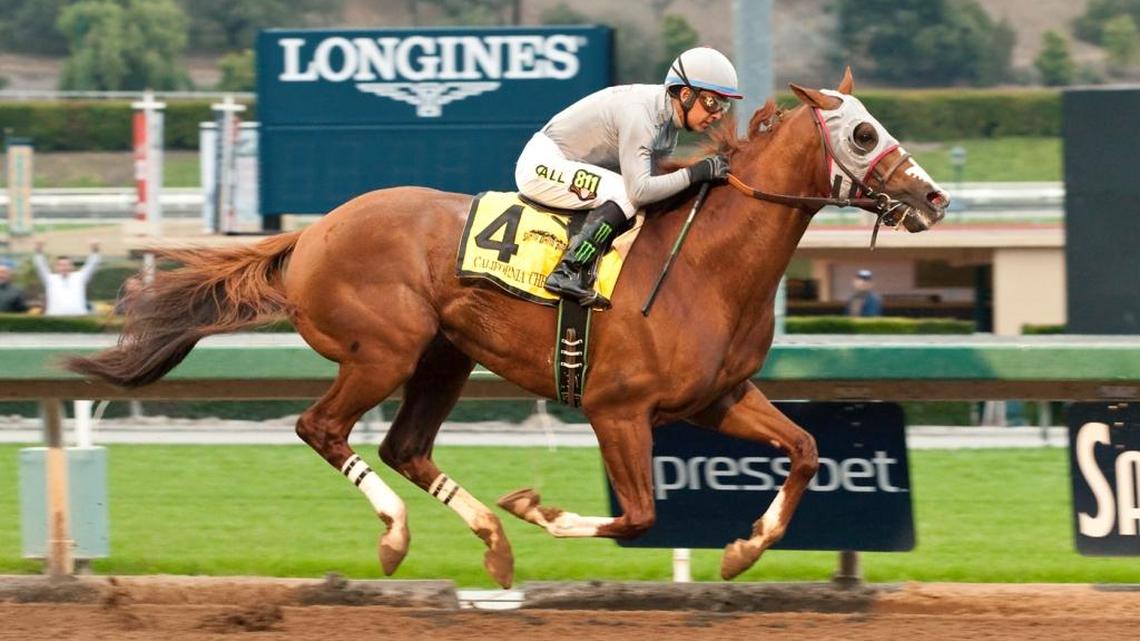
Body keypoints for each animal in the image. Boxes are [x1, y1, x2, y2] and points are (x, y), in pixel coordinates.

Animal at [67, 69, 948, 588]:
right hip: (383, 351)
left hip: (444, 357)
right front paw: (537, 508)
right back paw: (401, 535)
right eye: (863, 133)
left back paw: (491, 539)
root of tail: (313, 233)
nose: (934, 198)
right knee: (323, 428)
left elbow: (804, 450)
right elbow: (638, 515)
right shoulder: (617, 409)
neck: (707, 262)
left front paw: (743, 548)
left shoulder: (716, 398)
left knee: (403, 446)